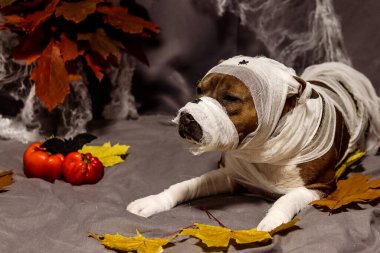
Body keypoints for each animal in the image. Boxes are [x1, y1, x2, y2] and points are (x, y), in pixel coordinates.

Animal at [127, 55, 380, 231]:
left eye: (230, 98)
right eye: (199, 89)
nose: (187, 116)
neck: (264, 148)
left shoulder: (319, 186)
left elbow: (287, 198)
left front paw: (273, 221)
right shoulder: (230, 175)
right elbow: (186, 186)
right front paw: (154, 201)